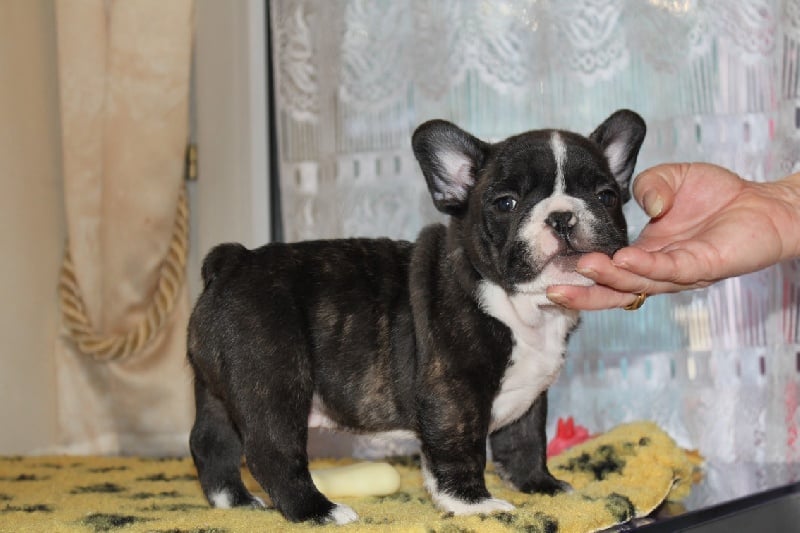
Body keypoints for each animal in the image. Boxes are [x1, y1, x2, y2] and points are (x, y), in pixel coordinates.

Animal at [187, 109, 646, 524]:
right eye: (506, 203)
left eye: (606, 196)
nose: (562, 215)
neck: (523, 307)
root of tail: (232, 262)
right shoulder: (454, 392)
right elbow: (461, 449)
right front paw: (473, 504)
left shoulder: (531, 395)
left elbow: (526, 442)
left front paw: (540, 486)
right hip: (273, 380)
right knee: (271, 451)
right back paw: (318, 511)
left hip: (221, 387)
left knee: (212, 441)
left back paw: (235, 502)